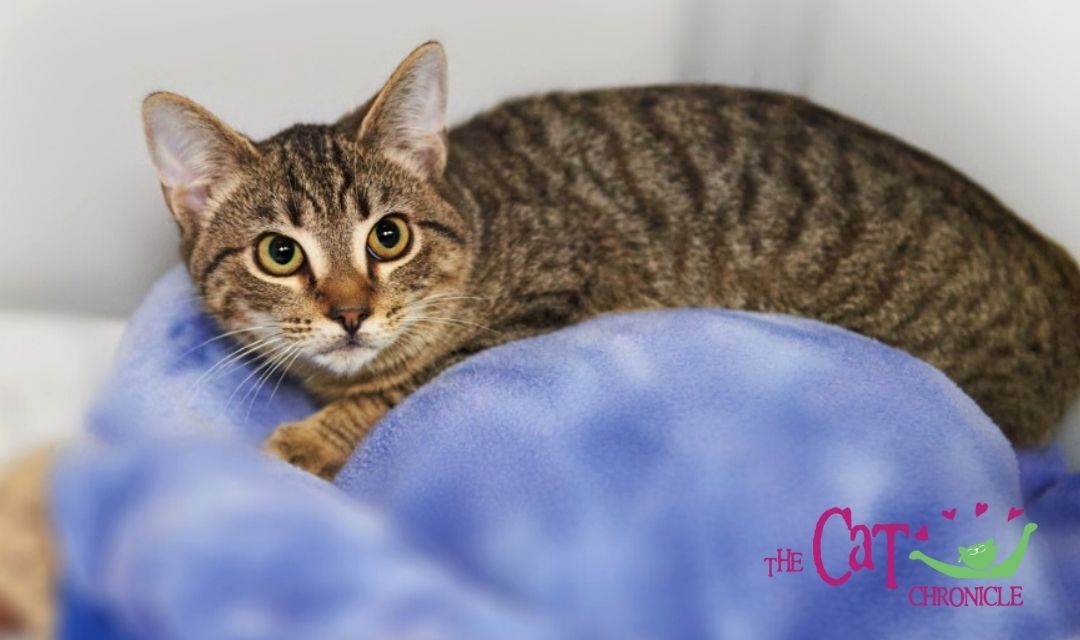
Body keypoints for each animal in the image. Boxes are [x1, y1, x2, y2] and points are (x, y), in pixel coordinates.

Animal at [145, 42, 1080, 477]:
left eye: (388, 237)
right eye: (279, 253)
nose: (349, 312)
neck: (481, 215)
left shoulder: (541, 304)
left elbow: (399, 388)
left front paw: (310, 438)